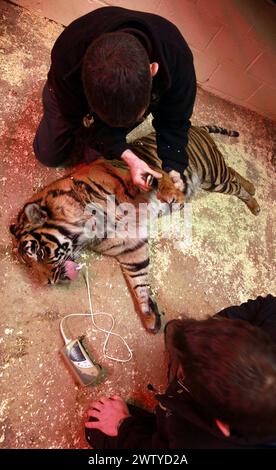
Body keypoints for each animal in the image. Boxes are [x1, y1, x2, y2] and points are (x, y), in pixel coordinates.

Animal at [9, 123, 260, 332]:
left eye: (39, 252)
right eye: (29, 265)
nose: (47, 283)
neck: (88, 230)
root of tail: (197, 127)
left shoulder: (137, 176)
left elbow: (157, 177)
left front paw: (174, 195)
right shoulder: (129, 245)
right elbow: (139, 279)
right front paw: (149, 315)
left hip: (213, 173)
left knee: (235, 183)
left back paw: (255, 202)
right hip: (212, 179)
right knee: (234, 175)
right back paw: (252, 188)